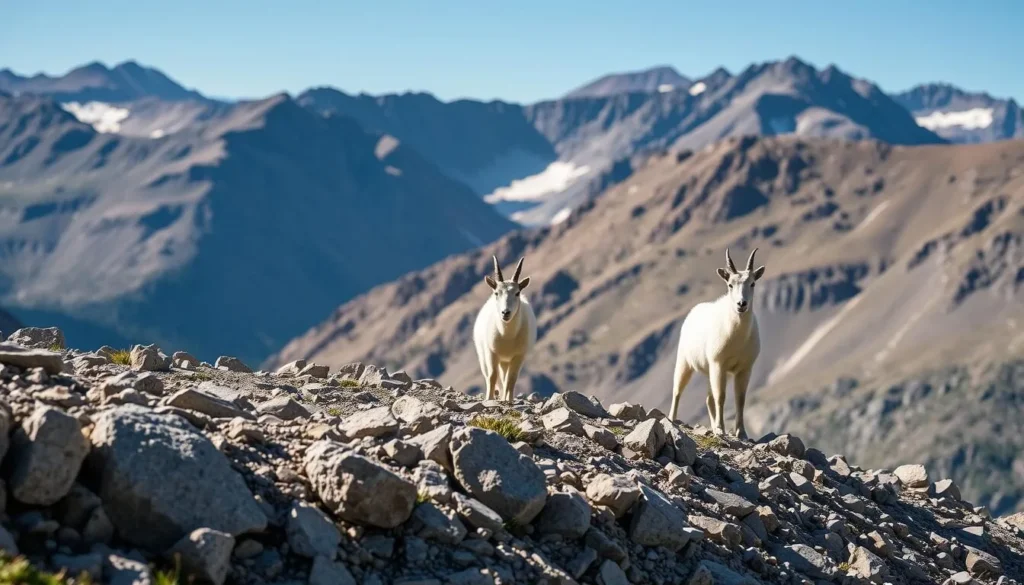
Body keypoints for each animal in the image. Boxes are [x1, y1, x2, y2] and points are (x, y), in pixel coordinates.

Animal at [473, 255, 537, 402]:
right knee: (490, 375)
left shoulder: (519, 355)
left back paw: (504, 397)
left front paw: (509, 401)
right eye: (497, 293)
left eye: (517, 293)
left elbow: (511, 379)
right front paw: (489, 399)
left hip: (505, 361)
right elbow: (492, 376)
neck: (507, 334)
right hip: (485, 355)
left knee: (505, 378)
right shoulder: (491, 353)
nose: (505, 313)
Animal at [668, 248, 766, 439]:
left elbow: (740, 399)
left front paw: (741, 432)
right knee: (677, 390)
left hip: (709, 371)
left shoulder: (744, 368)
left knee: (708, 398)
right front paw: (721, 429)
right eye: (730, 284)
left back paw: (712, 426)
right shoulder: (719, 364)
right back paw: (672, 419)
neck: (737, 337)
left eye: (752, 284)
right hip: (685, 362)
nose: (741, 304)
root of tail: (693, 312)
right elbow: (721, 396)